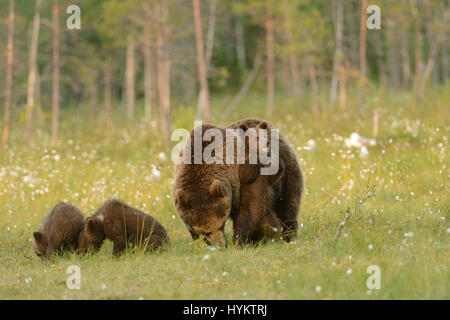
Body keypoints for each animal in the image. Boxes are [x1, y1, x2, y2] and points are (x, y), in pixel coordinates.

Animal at [172, 119, 302, 246]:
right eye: (206, 232)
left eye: (221, 225)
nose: (221, 245)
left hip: (287, 179)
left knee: (287, 208)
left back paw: (287, 236)